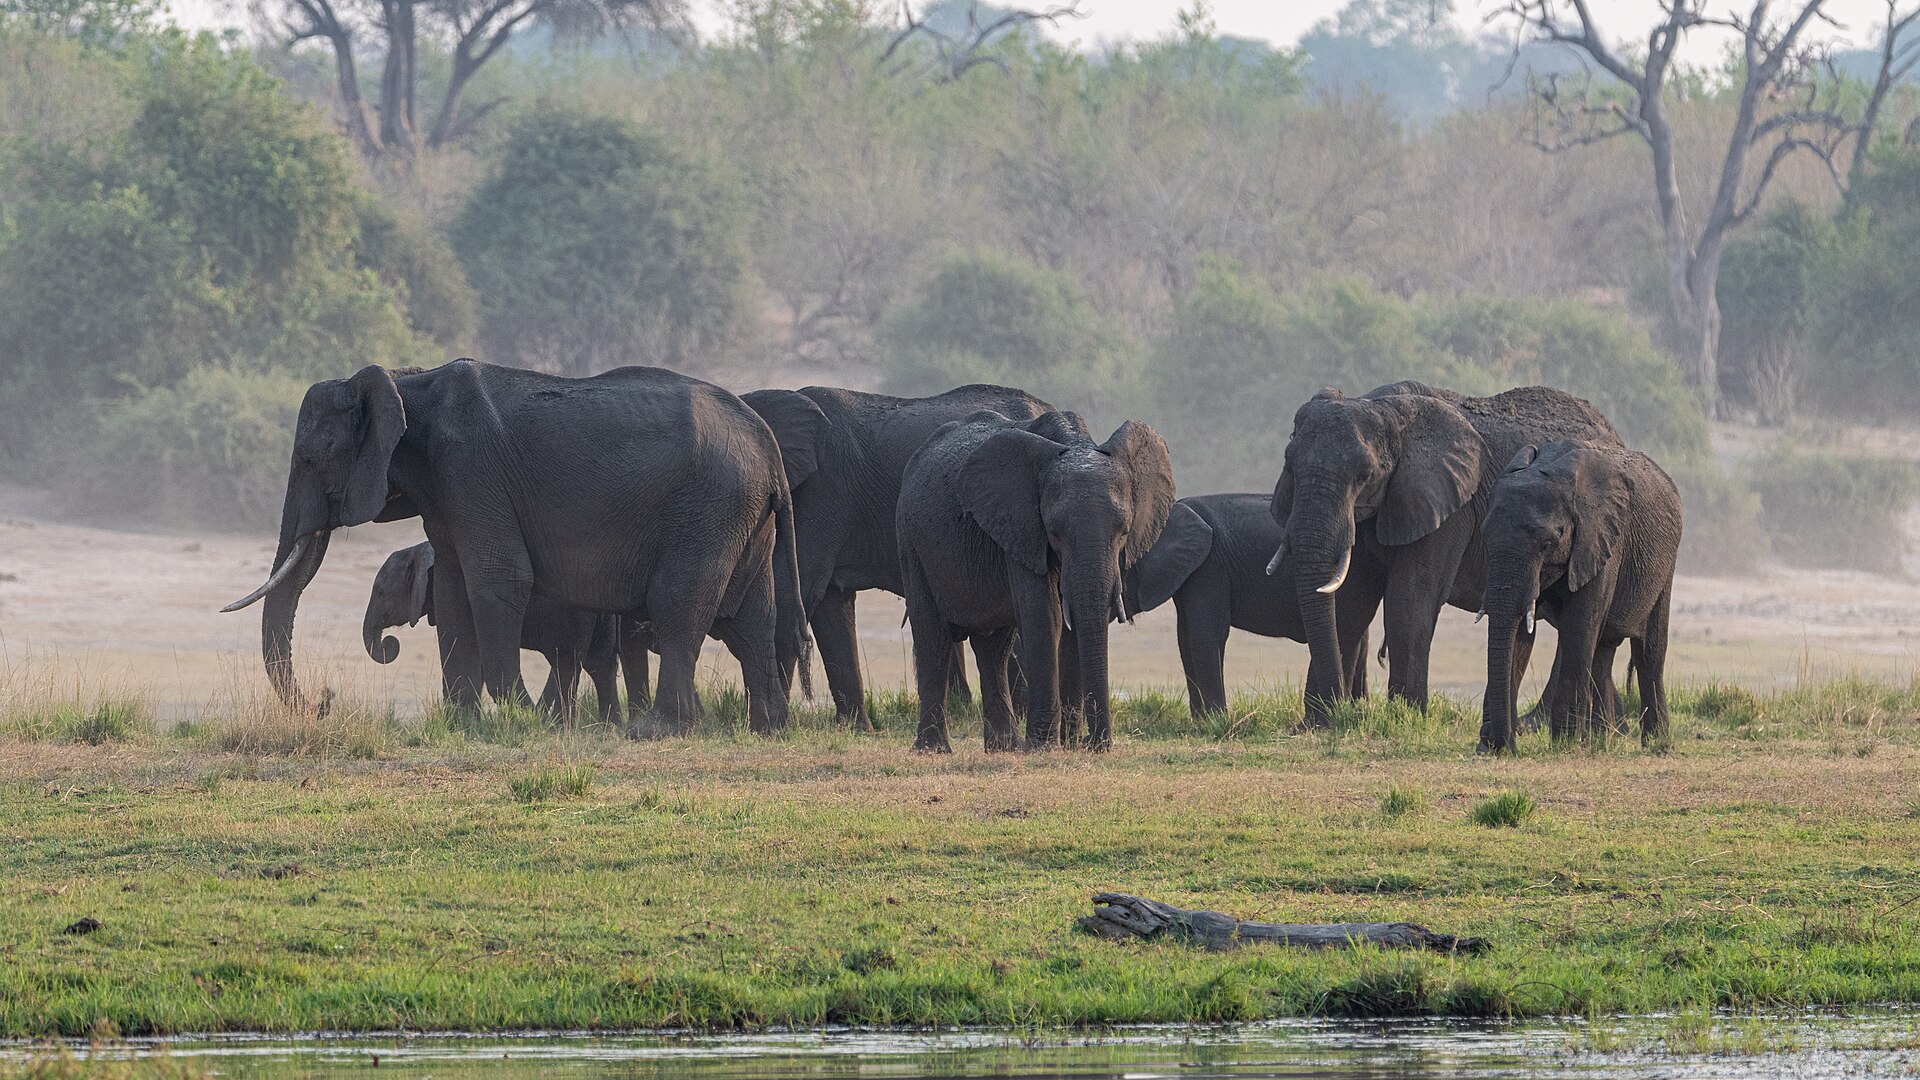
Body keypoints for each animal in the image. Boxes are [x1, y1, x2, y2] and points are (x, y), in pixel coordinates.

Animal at [362, 541, 652, 727]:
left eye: (380, 592)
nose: (390, 642)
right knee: (598, 663)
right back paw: (606, 727)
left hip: (574, 615)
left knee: (567, 661)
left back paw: (554, 723)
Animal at [897, 410, 1174, 752]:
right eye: (1054, 531)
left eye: (1124, 531)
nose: (1096, 743)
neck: (1076, 443)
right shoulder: (1022, 527)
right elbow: (1045, 616)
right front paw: (1045, 748)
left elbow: (1072, 620)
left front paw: (1069, 746)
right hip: (910, 539)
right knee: (932, 635)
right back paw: (934, 750)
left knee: (993, 647)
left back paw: (1005, 748)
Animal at [1269, 381, 1623, 724]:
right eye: (1289, 464)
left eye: (1365, 475)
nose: (1331, 711)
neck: (1382, 407)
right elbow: (1352, 602)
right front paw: (1320, 722)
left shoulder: (1451, 507)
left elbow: (1410, 598)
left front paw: (1406, 719)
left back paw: (1538, 723)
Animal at [1478, 441, 1682, 753]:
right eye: (1485, 538)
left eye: (1548, 542)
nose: (1504, 746)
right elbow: (1521, 636)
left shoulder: (1601, 541)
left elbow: (1579, 626)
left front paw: (1566, 743)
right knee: (1602, 655)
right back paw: (1602, 739)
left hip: (1665, 566)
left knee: (1649, 652)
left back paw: (1655, 741)